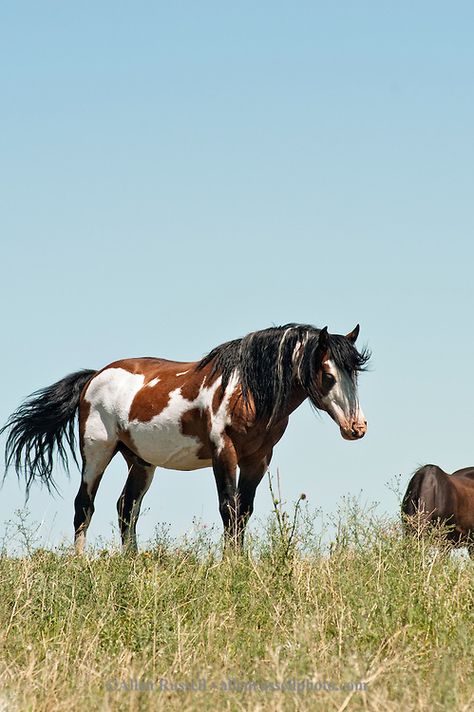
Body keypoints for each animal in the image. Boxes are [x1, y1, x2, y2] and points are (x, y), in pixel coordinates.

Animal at [0, 322, 370, 552]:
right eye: (327, 375)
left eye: (354, 374)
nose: (357, 428)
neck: (246, 389)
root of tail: (95, 376)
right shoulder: (224, 453)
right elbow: (228, 509)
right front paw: (230, 564)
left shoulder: (258, 459)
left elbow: (244, 511)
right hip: (97, 452)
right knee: (84, 506)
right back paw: (80, 565)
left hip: (141, 462)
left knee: (126, 508)